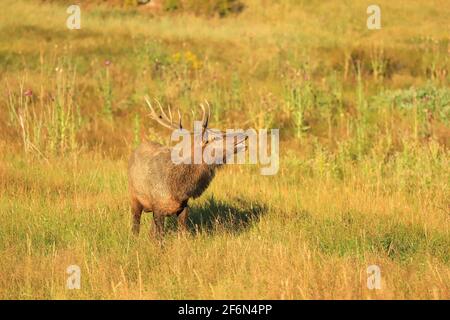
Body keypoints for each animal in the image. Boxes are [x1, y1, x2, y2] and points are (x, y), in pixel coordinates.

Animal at [126, 97, 246, 238]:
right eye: (215, 137)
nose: (243, 134)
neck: (178, 188)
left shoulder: (183, 206)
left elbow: (183, 232)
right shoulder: (158, 207)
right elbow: (160, 237)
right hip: (134, 197)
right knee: (135, 225)